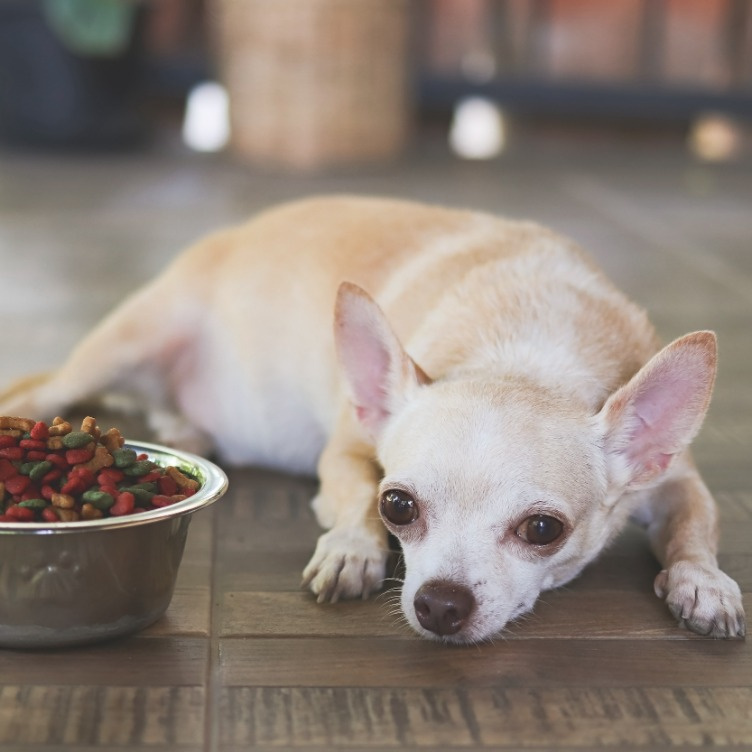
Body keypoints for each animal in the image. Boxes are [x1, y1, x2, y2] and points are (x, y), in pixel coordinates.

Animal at [0, 194, 744, 640]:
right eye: (399, 506)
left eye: (543, 529)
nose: (439, 604)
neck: (527, 355)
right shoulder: (348, 449)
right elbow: (352, 492)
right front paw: (353, 550)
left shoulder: (676, 480)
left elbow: (696, 524)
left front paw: (703, 582)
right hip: (121, 346)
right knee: (44, 390)